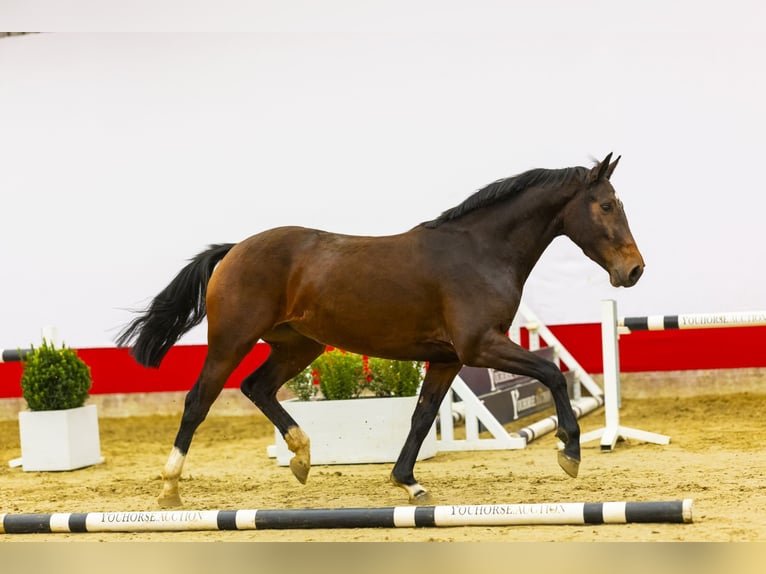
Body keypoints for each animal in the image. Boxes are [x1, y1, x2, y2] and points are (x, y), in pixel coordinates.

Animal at [118, 154, 648, 508]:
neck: (480, 251)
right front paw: (569, 451)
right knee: (198, 400)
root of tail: (233, 250)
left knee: (257, 387)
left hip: (299, 346)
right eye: (605, 206)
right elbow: (552, 373)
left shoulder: (448, 358)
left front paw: (408, 481)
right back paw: (169, 488)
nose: (634, 270)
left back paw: (301, 457)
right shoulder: (480, 347)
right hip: (231, 342)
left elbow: (421, 416)